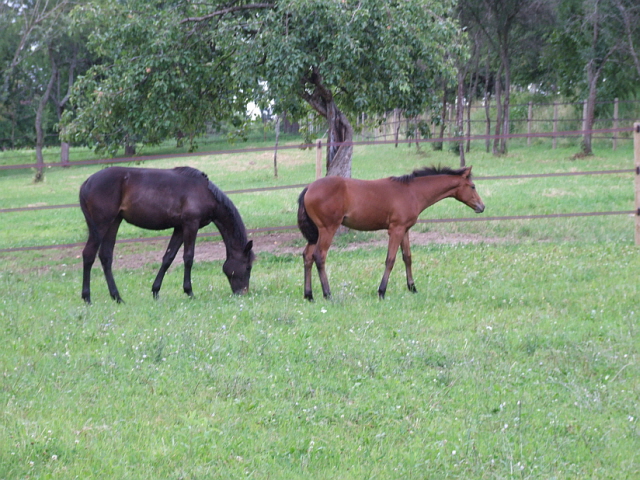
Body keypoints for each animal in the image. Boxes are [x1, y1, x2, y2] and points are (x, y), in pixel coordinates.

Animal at [77, 167, 252, 304]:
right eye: (248, 266)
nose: (243, 293)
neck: (205, 193)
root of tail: (86, 182)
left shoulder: (180, 228)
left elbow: (168, 258)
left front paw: (156, 291)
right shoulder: (191, 224)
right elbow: (188, 258)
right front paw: (189, 292)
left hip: (114, 222)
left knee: (106, 256)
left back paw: (117, 297)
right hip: (101, 225)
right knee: (88, 254)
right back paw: (87, 298)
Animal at [298, 166, 484, 300]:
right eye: (472, 186)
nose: (482, 207)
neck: (412, 192)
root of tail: (308, 188)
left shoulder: (405, 230)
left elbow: (407, 257)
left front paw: (412, 288)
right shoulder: (396, 229)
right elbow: (390, 259)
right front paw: (381, 291)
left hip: (316, 233)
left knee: (307, 256)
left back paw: (309, 295)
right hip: (328, 229)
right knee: (319, 256)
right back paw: (327, 294)